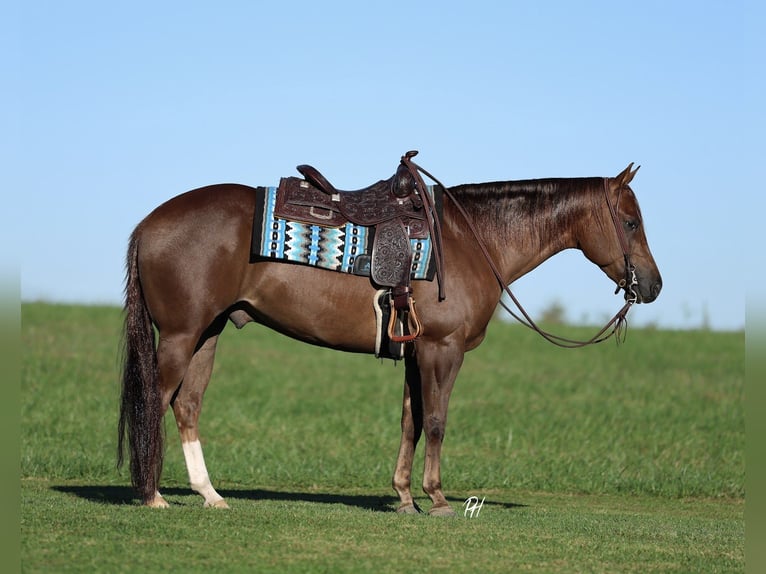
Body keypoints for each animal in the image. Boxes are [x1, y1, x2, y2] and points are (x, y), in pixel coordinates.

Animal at [117, 159, 662, 515]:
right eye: (631, 221)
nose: (653, 286)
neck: (470, 240)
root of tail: (148, 223)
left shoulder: (415, 353)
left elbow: (410, 423)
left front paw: (403, 497)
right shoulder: (442, 349)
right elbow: (437, 422)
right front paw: (437, 499)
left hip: (207, 333)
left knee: (187, 405)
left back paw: (209, 494)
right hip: (181, 334)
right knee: (155, 399)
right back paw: (152, 495)